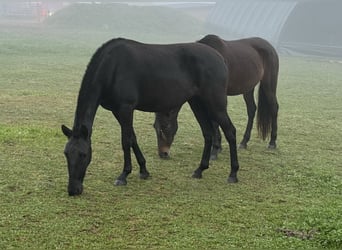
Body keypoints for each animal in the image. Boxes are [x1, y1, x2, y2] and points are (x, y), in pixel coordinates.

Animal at [61, 38, 239, 196]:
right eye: (66, 154)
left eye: (83, 155)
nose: (73, 190)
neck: (112, 66)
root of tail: (219, 58)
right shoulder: (118, 111)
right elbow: (132, 138)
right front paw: (143, 170)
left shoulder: (126, 108)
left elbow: (126, 141)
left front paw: (123, 175)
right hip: (197, 103)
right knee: (207, 133)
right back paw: (200, 169)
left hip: (215, 104)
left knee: (230, 131)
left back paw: (233, 174)